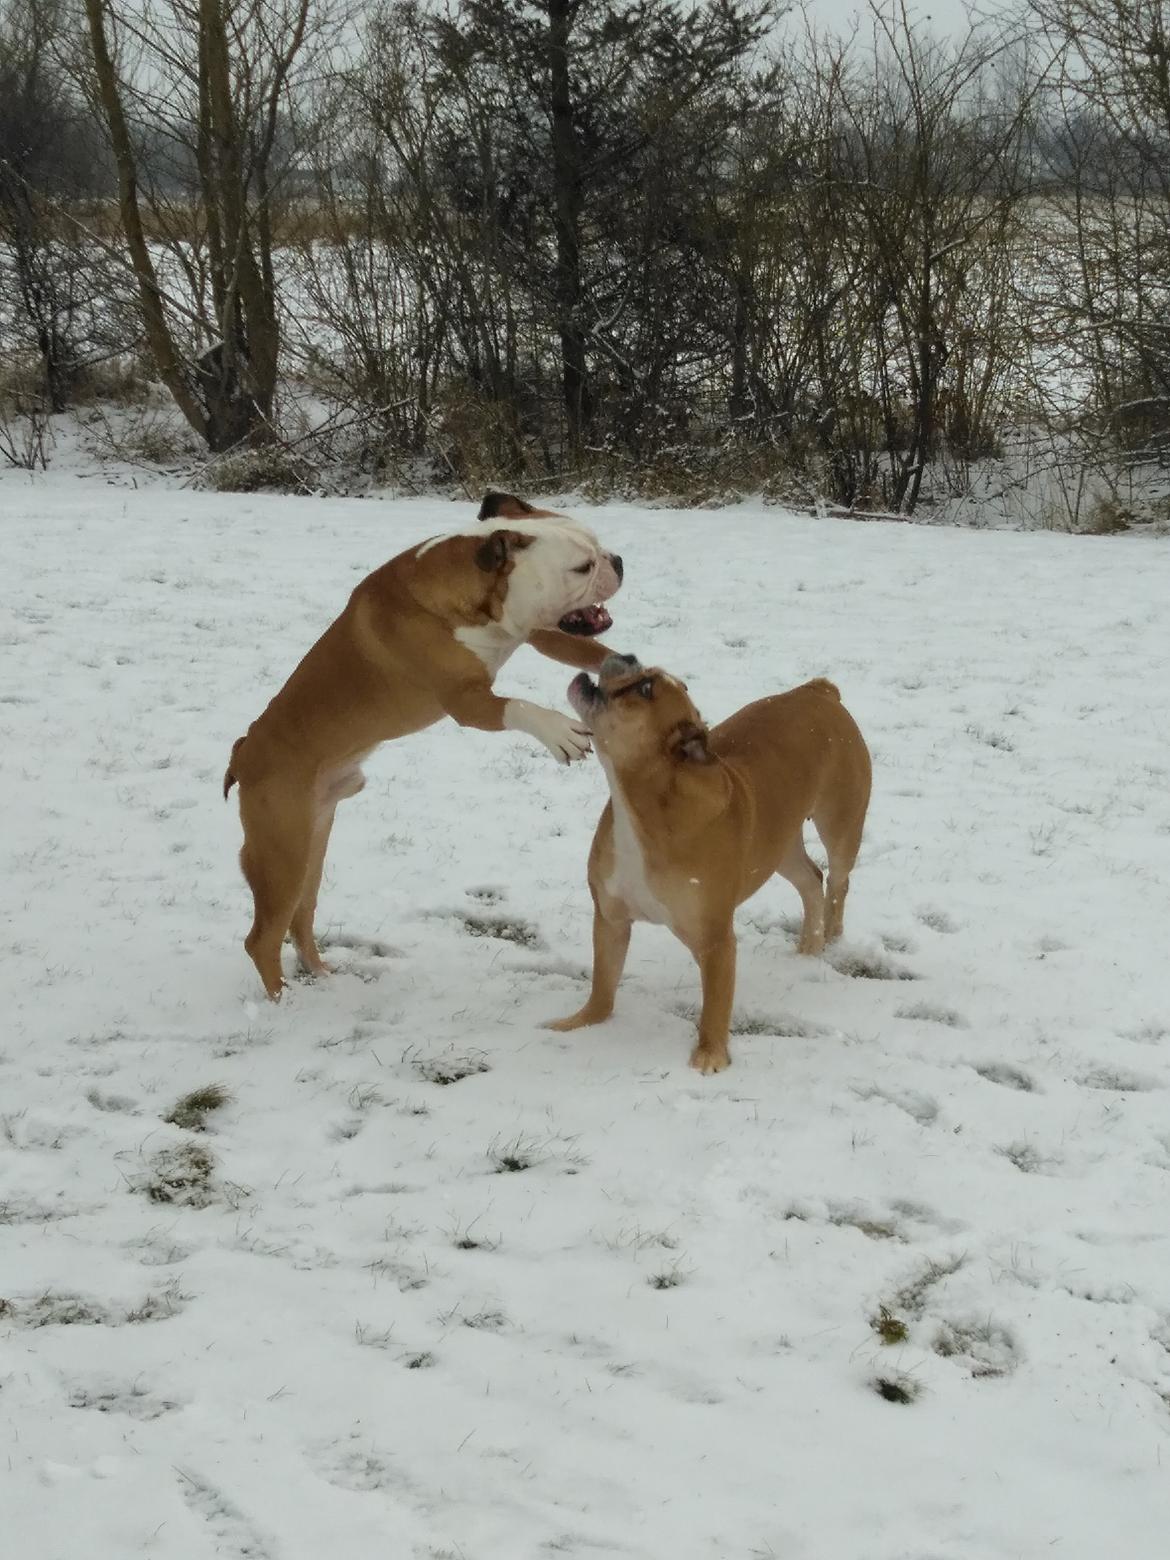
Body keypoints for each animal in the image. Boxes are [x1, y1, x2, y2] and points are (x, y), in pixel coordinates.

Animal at [221, 489, 624, 998]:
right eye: (581, 567)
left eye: (598, 546)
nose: (618, 560)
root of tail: (243, 753)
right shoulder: (468, 703)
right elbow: (519, 706)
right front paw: (561, 733)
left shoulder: (542, 630)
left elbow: (593, 650)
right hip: (281, 853)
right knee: (262, 939)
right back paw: (284, 1002)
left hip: (312, 844)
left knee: (300, 918)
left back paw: (324, 977)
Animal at [549, 655, 873, 1073]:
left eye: (645, 689)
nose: (628, 656)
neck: (643, 802)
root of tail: (819, 691)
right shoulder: (610, 920)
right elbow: (603, 984)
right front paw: (582, 1022)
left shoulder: (715, 940)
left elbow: (715, 1005)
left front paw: (710, 1056)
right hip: (778, 847)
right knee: (810, 879)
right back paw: (807, 948)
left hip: (840, 825)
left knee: (837, 881)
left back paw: (830, 936)